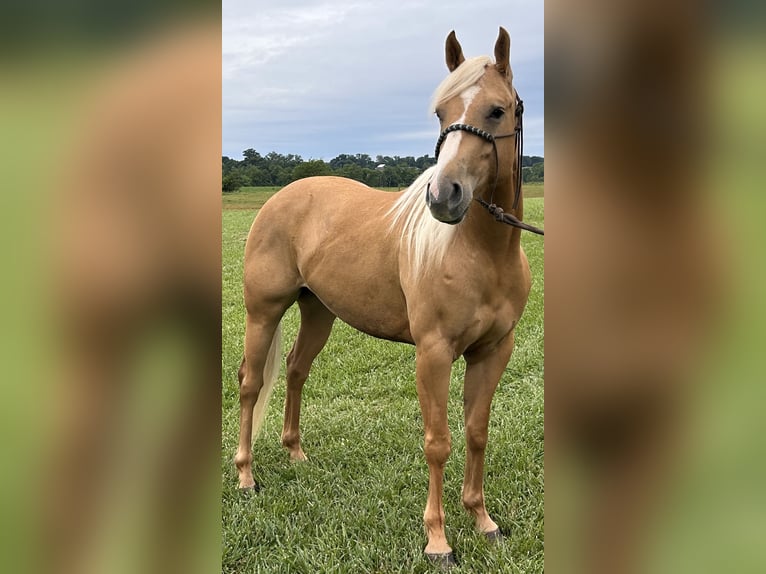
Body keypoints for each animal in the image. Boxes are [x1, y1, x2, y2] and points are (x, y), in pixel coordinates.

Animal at [235, 27, 541, 565]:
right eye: (441, 113)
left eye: (497, 111)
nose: (444, 196)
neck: (481, 253)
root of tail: (281, 197)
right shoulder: (434, 353)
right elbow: (438, 442)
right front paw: (438, 541)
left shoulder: (493, 351)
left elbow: (477, 432)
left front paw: (483, 521)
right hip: (262, 313)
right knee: (251, 383)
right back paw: (247, 477)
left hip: (318, 312)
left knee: (295, 369)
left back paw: (295, 452)